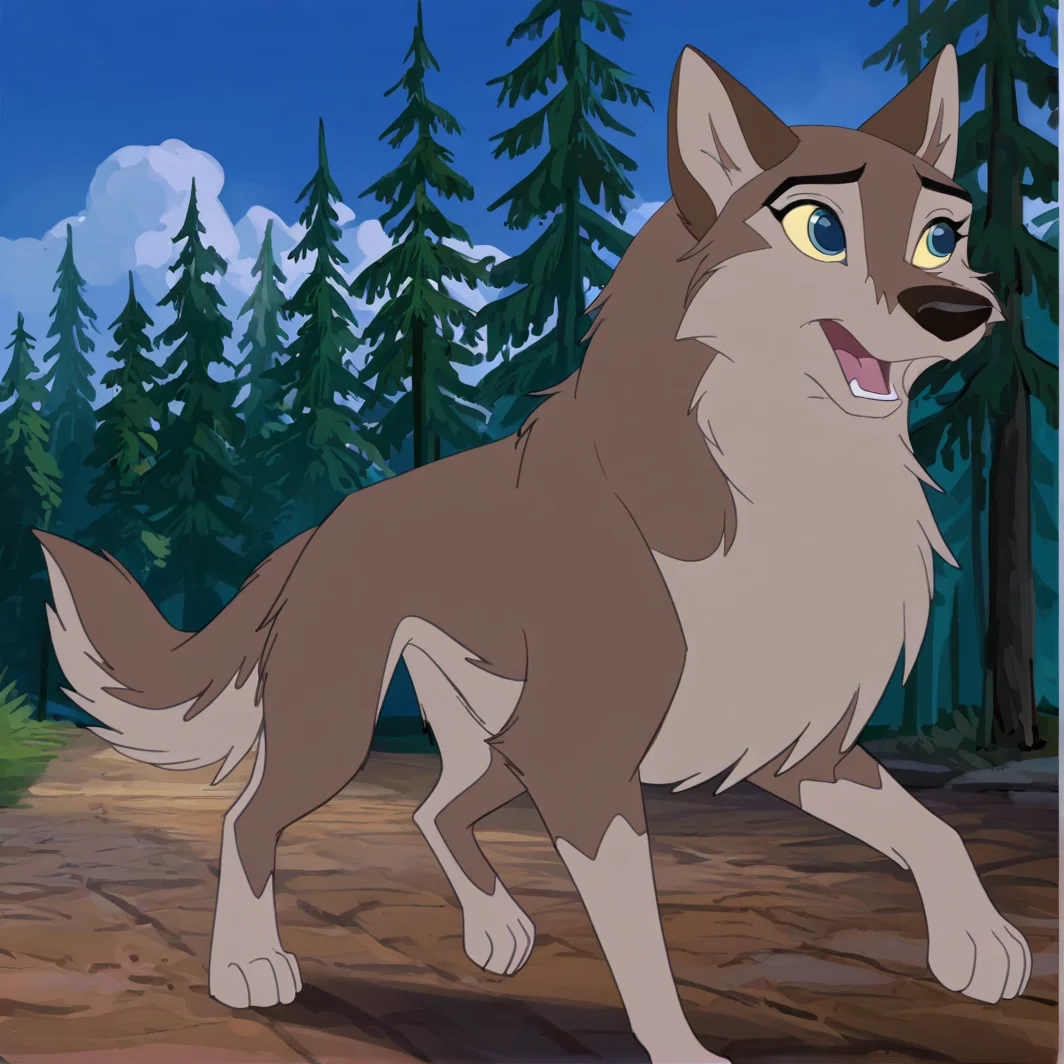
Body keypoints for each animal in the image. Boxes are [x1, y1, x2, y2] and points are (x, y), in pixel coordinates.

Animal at [36, 43, 1032, 1064]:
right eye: (821, 230)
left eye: (942, 236)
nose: (959, 308)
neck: (779, 469)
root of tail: (324, 528)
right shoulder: (584, 763)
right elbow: (639, 936)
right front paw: (680, 1049)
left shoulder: (792, 744)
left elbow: (931, 829)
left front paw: (981, 946)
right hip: (347, 727)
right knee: (250, 818)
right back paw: (248, 967)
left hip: (499, 745)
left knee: (432, 807)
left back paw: (494, 929)